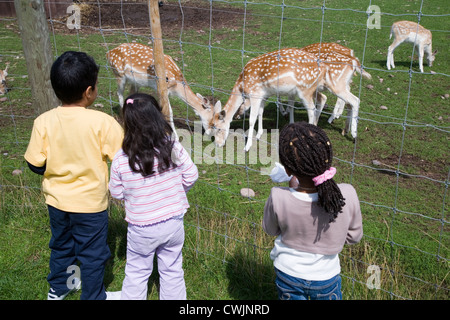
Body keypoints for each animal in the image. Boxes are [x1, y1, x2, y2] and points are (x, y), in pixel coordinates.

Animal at [209, 48, 360, 152]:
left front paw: (247, 147)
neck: (242, 87)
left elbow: (252, 119)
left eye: (218, 129)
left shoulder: (255, 93)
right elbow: (260, 113)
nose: (217, 144)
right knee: (341, 100)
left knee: (317, 108)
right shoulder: (263, 94)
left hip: (307, 89)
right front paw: (259, 135)